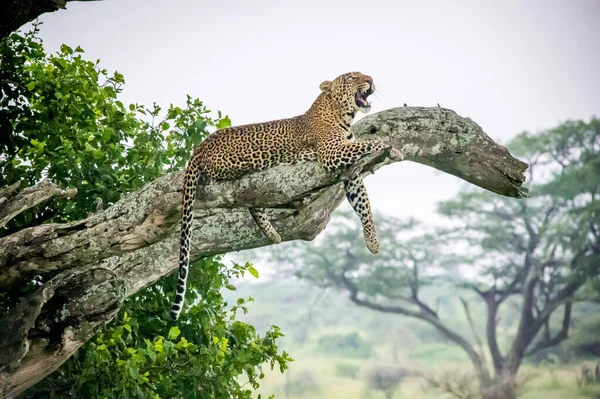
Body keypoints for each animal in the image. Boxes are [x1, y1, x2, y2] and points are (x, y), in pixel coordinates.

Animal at [171, 71, 400, 322]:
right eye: (351, 77)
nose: (370, 80)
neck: (343, 115)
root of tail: (199, 147)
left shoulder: (351, 174)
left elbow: (363, 205)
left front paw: (372, 242)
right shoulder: (332, 153)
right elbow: (370, 142)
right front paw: (393, 147)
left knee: (253, 201)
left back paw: (272, 233)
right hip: (244, 163)